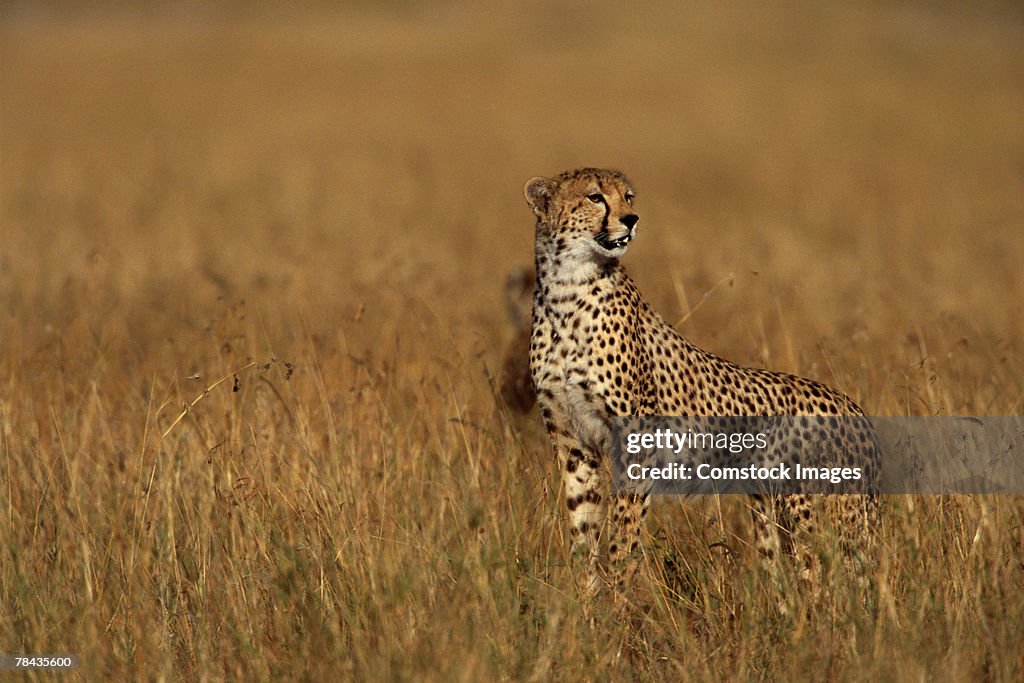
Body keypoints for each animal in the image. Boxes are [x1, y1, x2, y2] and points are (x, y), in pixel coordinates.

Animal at [524, 167, 876, 593]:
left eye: (627, 196)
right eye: (595, 197)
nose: (632, 219)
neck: (567, 288)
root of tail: (854, 408)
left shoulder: (637, 444)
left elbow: (623, 536)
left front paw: (617, 596)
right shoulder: (574, 443)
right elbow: (583, 529)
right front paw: (584, 597)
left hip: (812, 512)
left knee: (828, 581)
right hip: (770, 513)